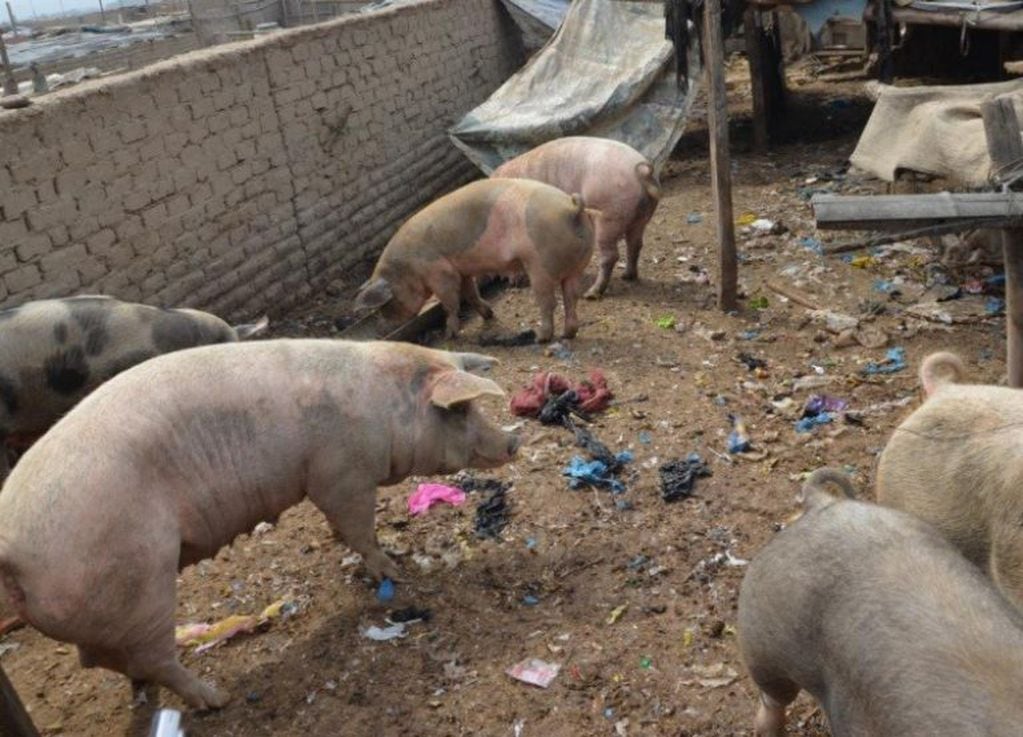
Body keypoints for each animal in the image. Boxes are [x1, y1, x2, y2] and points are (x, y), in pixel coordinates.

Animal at [351, 178, 597, 341]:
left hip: (539, 267)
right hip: (577, 264)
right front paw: (488, 315)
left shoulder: (440, 272)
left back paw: (540, 337)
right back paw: (567, 334)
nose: (380, 331)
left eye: (385, 305)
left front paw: (449, 335)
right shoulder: (462, 271)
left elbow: (450, 302)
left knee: (548, 302)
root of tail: (571, 208)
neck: (407, 268)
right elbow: (470, 294)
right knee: (571, 297)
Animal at [488, 137, 662, 298]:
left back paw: (591, 294)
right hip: (641, 217)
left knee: (610, 255)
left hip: (608, 217)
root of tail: (643, 173)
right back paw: (627, 276)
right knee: (635, 245)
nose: (511, 283)